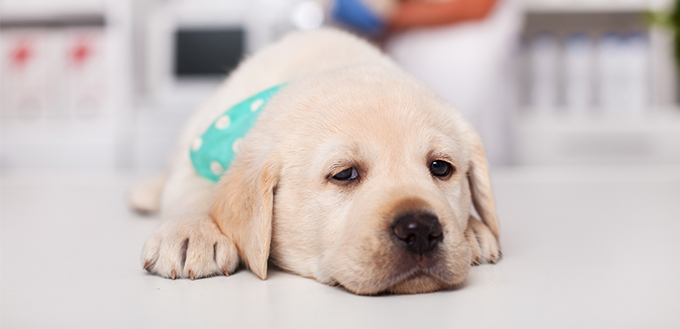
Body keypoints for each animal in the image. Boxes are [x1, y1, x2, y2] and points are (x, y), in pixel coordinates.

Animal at [133, 28, 502, 294]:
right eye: (344, 174)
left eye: (440, 167)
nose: (421, 230)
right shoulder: (197, 156)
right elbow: (193, 193)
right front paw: (189, 233)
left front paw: (474, 230)